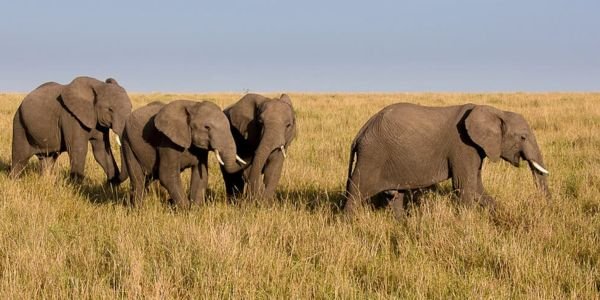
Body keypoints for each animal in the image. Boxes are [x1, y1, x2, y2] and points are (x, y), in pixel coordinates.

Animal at [344, 103, 552, 216]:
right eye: (523, 137)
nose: (547, 207)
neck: (495, 111)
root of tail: (360, 132)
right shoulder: (463, 146)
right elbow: (464, 185)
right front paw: (465, 225)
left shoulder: (475, 148)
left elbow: (476, 187)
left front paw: (499, 214)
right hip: (372, 155)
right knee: (355, 192)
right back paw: (349, 226)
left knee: (395, 195)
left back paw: (402, 225)